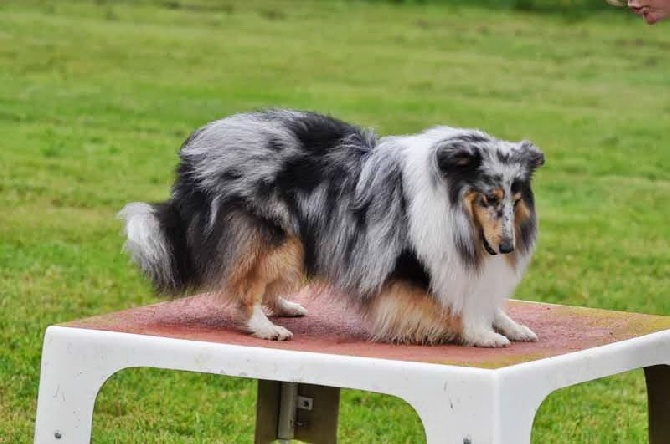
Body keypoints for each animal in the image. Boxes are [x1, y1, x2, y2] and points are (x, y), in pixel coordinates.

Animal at [119, 108, 544, 346]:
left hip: (294, 243)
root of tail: (198, 150)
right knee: (246, 287)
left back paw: (284, 307)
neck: (451, 198)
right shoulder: (417, 264)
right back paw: (265, 327)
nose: (507, 247)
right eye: (488, 198)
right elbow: (456, 306)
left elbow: (484, 300)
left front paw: (512, 326)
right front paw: (483, 335)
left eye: (515, 199)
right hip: (275, 238)